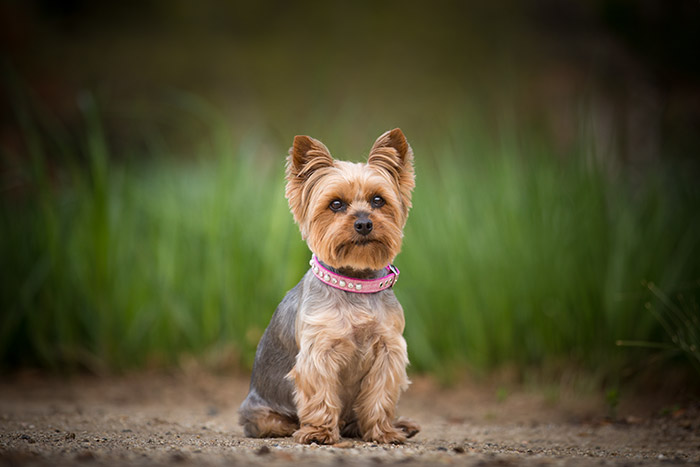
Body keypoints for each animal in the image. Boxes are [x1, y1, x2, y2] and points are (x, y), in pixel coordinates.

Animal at [238, 128, 418, 446]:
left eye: (378, 200)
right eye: (336, 204)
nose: (364, 223)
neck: (354, 281)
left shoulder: (389, 350)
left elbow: (380, 394)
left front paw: (383, 432)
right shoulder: (318, 351)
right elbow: (320, 393)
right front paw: (319, 432)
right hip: (261, 413)